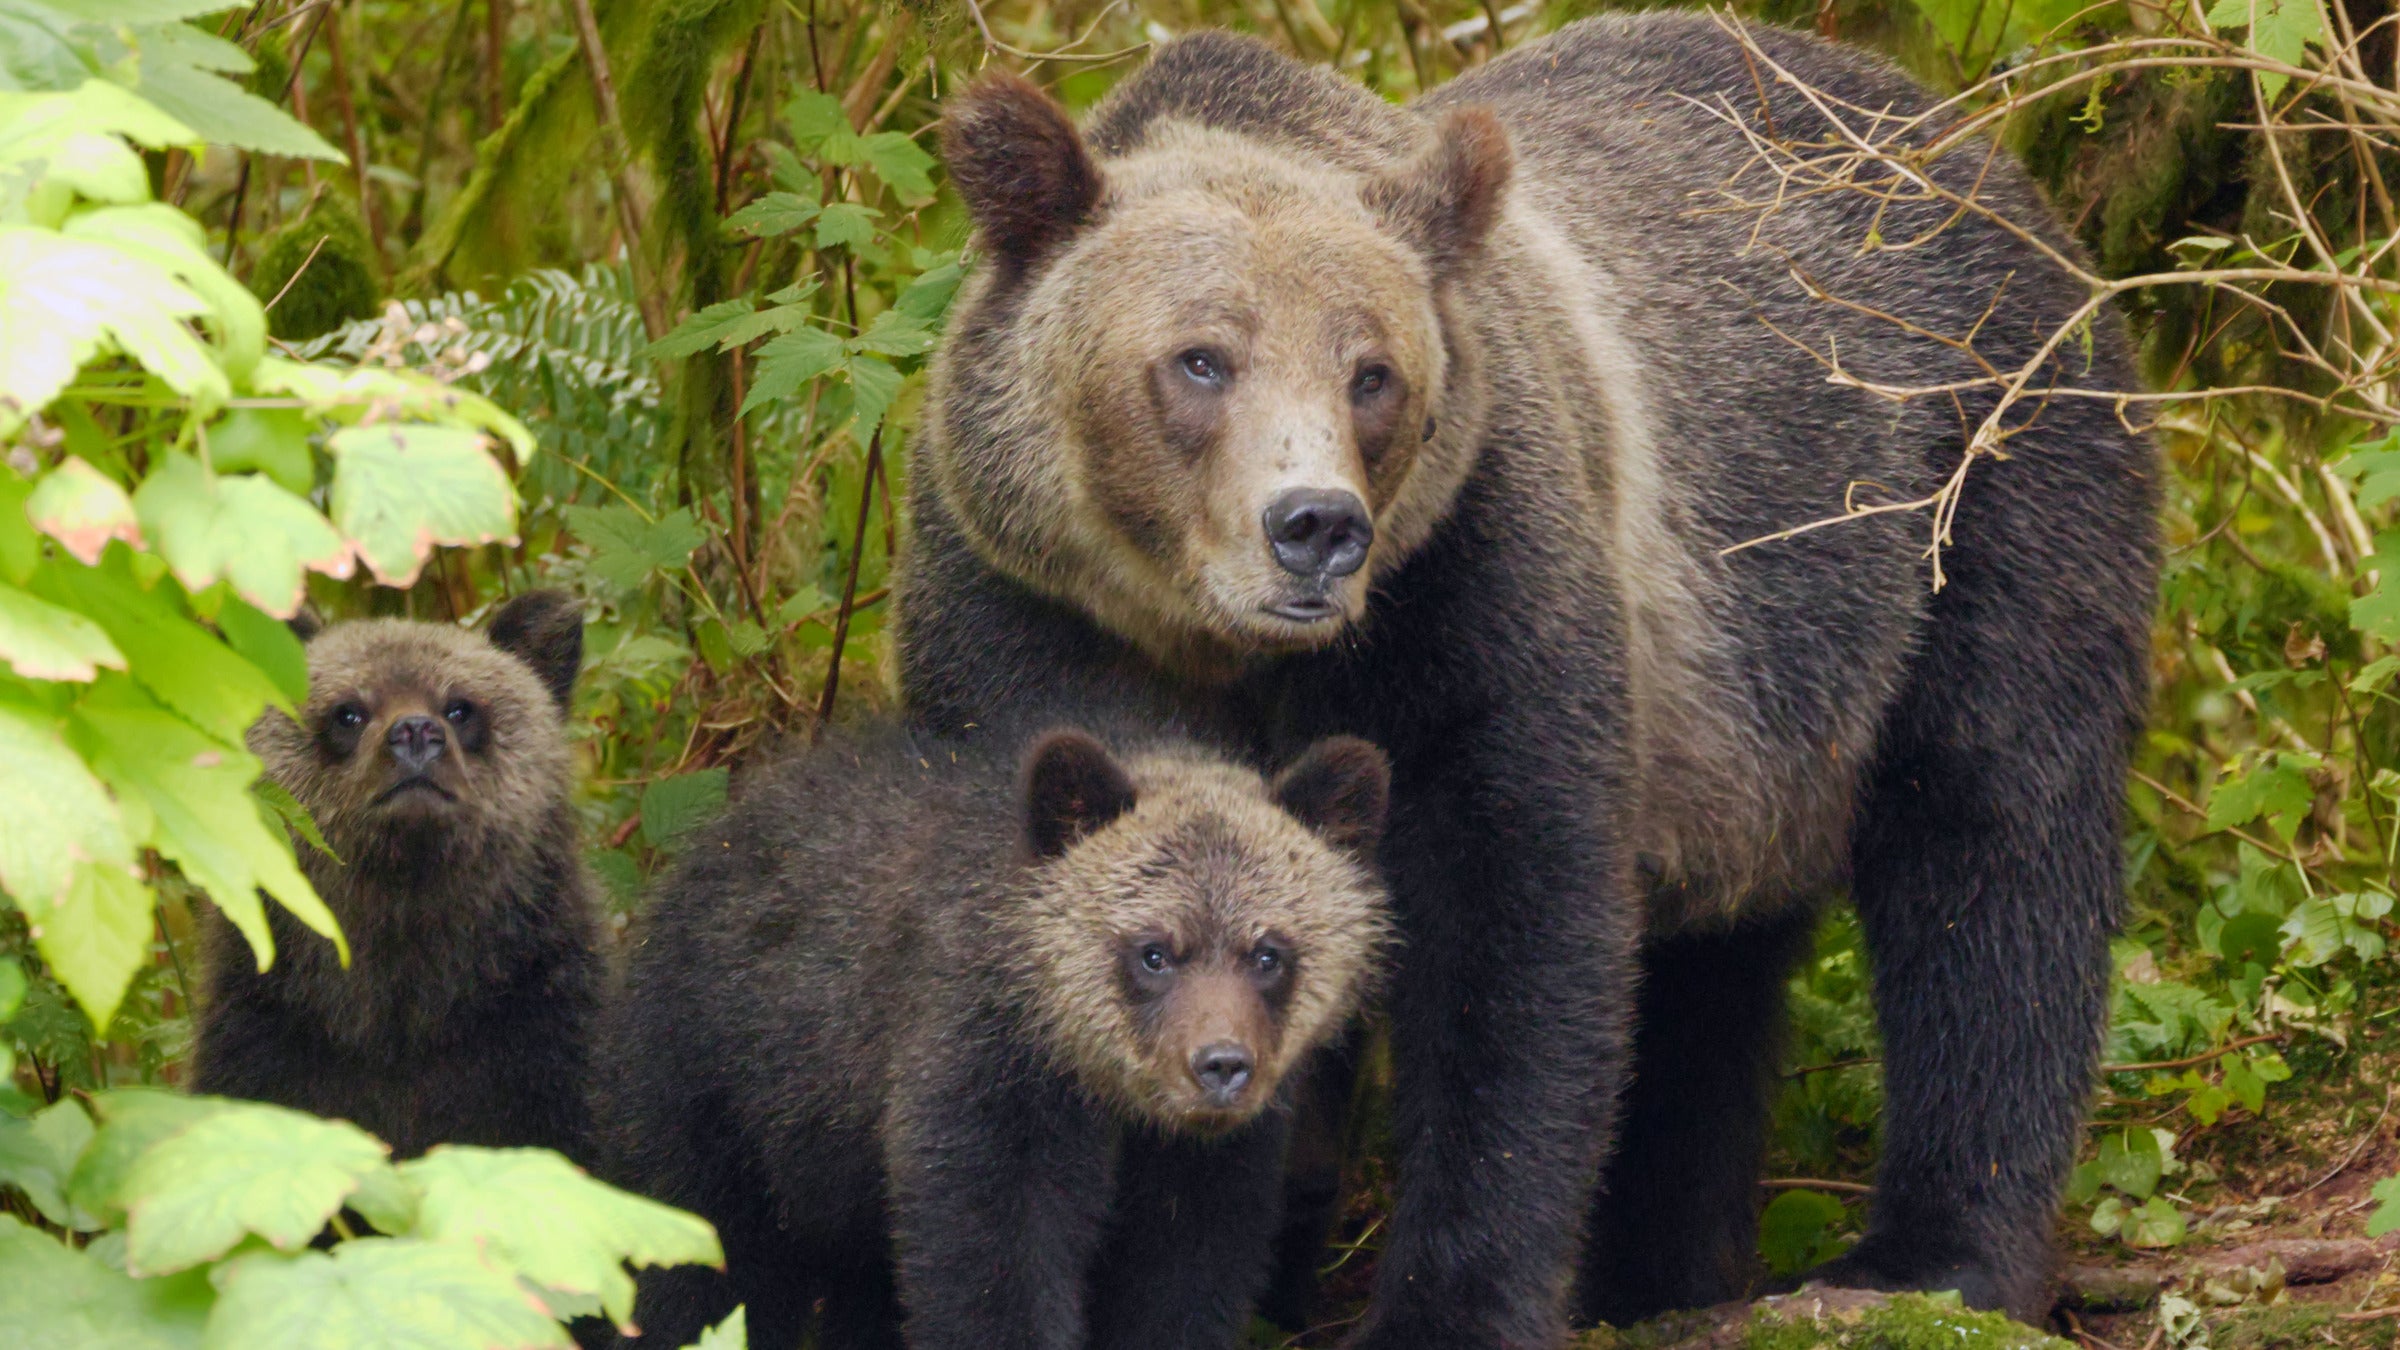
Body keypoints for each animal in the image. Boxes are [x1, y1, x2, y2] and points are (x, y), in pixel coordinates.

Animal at [590, 717, 1394, 1350]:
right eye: (1154, 951)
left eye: (1269, 954)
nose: (1221, 1065)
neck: (1107, 1094)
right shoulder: (984, 1082)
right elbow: (993, 1274)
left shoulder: (1209, 1167)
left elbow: (1184, 1282)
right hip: (712, 1092)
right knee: (705, 1269)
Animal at [904, 14, 2158, 1343]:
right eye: (1201, 360)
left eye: (1371, 373)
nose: (1317, 527)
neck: (1228, 641)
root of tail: (1976, 151)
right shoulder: (1024, 606)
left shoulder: (1470, 576)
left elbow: (1510, 928)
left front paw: (1446, 1302)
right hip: (1748, 729)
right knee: (1714, 983)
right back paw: (1660, 1270)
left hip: (1970, 490)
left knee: (1993, 849)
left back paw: (1933, 1252)